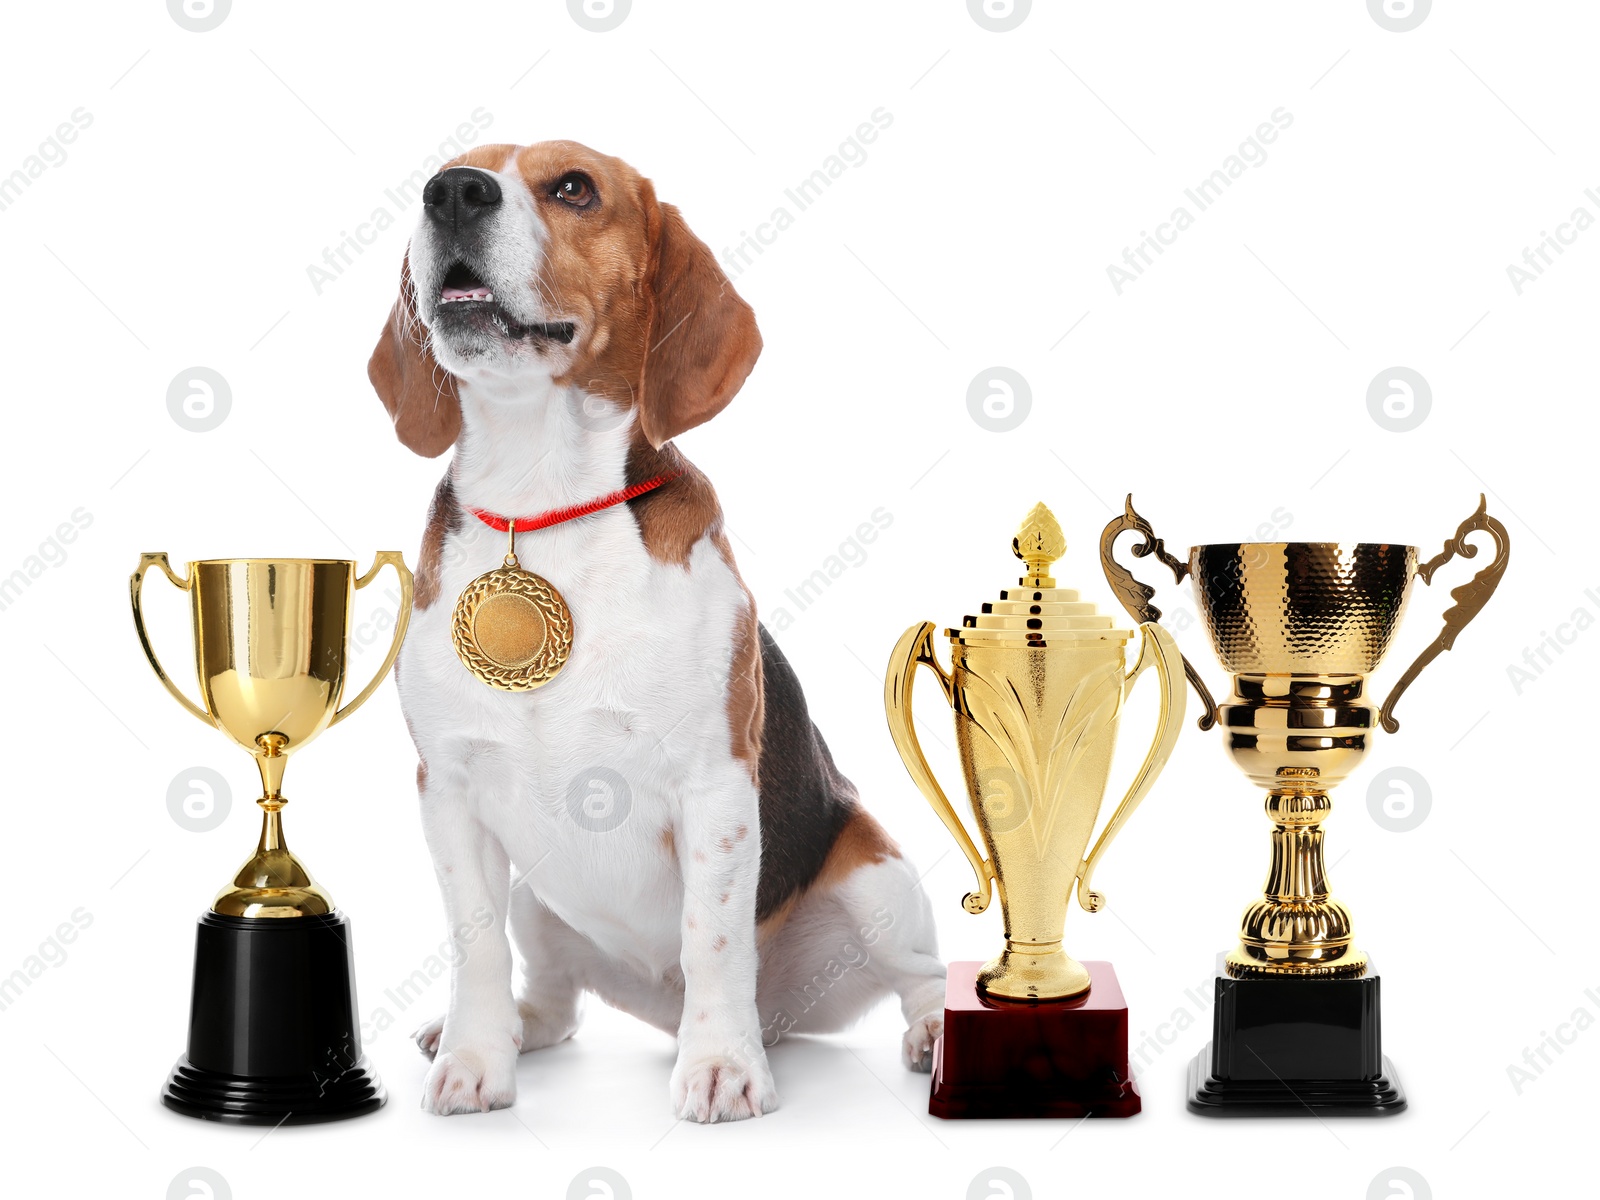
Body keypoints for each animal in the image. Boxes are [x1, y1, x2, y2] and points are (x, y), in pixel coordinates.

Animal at [371, 143, 947, 1126]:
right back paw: (509, 1028)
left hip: (879, 886)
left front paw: (719, 1069)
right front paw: (476, 1061)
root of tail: (781, 1019)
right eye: (447, 173)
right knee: (555, 998)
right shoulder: (448, 790)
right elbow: (473, 944)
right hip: (539, 900)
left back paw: (925, 1034)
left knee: (924, 980)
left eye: (573, 188)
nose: (451, 193)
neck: (543, 501)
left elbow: (713, 936)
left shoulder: (714, 784)